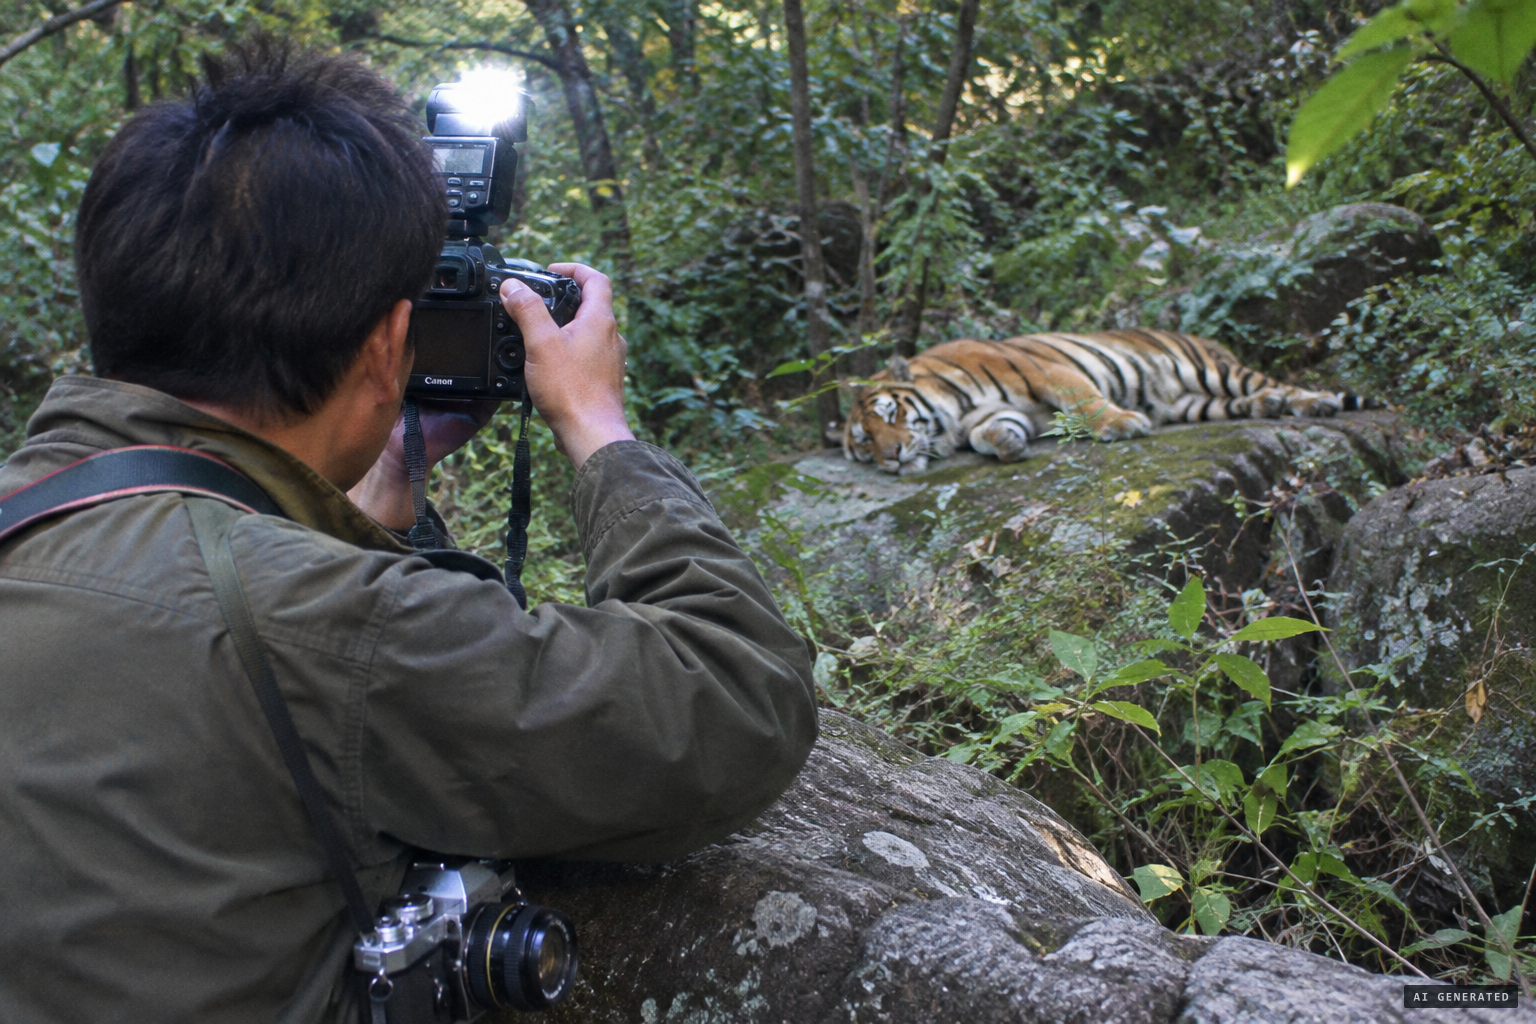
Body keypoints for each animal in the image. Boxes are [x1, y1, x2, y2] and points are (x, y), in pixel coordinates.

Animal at [842, 328, 1379, 475]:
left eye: (891, 414)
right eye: (864, 444)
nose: (891, 458)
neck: (949, 414)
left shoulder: (1043, 373)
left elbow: (1083, 398)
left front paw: (1121, 424)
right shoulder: (995, 410)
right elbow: (989, 431)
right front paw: (1007, 445)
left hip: (1212, 369)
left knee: (1280, 384)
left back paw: (1314, 404)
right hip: (1196, 401)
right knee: (1248, 399)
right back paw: (1266, 408)